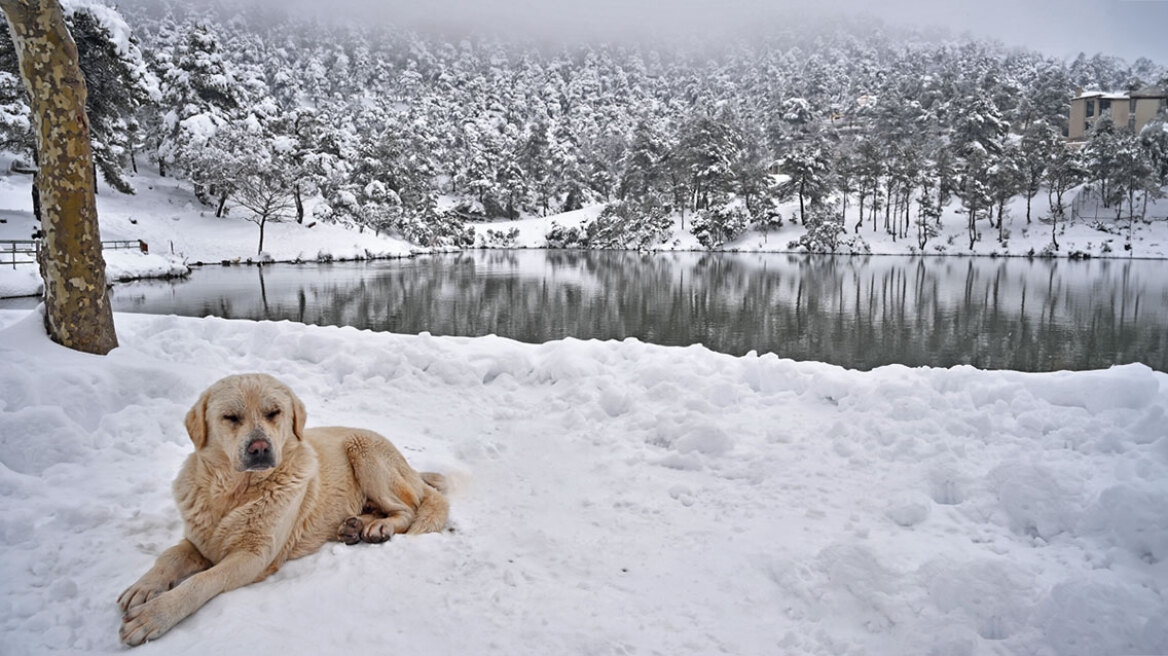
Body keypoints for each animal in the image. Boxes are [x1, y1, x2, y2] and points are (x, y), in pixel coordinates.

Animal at [117, 373, 446, 644]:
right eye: (231, 417)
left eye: (274, 413)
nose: (260, 448)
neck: (234, 492)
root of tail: (412, 470)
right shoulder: (198, 541)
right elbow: (169, 556)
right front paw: (143, 587)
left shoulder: (253, 555)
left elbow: (201, 581)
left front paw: (155, 614)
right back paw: (353, 525)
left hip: (363, 448)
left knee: (407, 509)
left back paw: (379, 526)